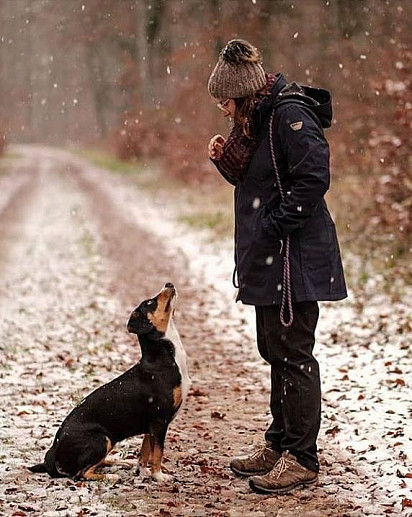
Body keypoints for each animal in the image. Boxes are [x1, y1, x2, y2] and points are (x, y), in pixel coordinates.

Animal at [28, 282, 190, 480]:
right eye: (150, 303)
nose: (169, 284)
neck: (165, 358)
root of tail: (53, 453)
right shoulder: (159, 421)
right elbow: (157, 453)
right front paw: (159, 476)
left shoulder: (149, 425)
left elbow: (144, 453)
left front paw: (142, 472)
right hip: (102, 439)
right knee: (82, 473)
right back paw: (111, 476)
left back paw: (120, 462)